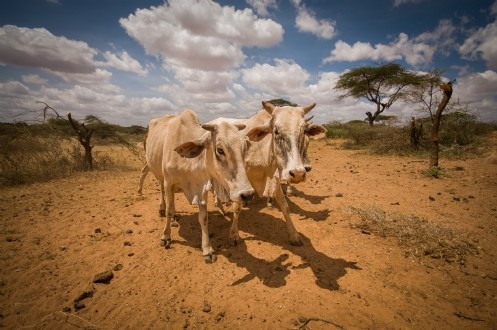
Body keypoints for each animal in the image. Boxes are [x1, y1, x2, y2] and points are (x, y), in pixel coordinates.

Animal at [143, 110, 268, 262]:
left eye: (244, 149)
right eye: (220, 150)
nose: (248, 194)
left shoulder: (201, 188)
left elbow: (203, 218)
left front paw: (207, 249)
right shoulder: (168, 183)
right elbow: (169, 210)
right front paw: (166, 236)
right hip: (158, 175)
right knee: (163, 194)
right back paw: (162, 208)